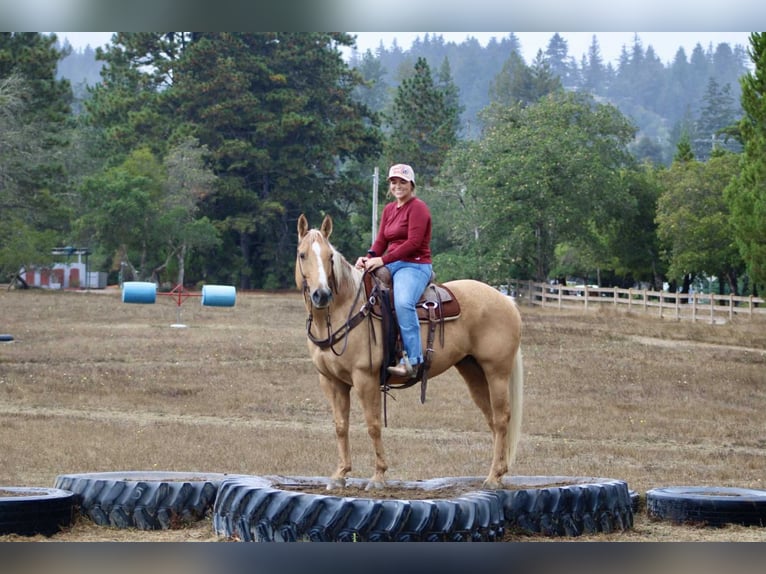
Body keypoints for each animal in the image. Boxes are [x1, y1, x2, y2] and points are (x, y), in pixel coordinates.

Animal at [295, 213, 524, 490]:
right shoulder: (331, 381)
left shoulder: (365, 378)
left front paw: (378, 476)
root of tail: (506, 300)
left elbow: (373, 425)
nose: (321, 294)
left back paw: (493, 478)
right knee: (493, 419)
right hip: (473, 371)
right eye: (302, 254)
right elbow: (340, 426)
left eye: (330, 256)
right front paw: (340, 474)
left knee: (501, 419)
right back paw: (498, 473)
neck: (347, 309)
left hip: (497, 372)